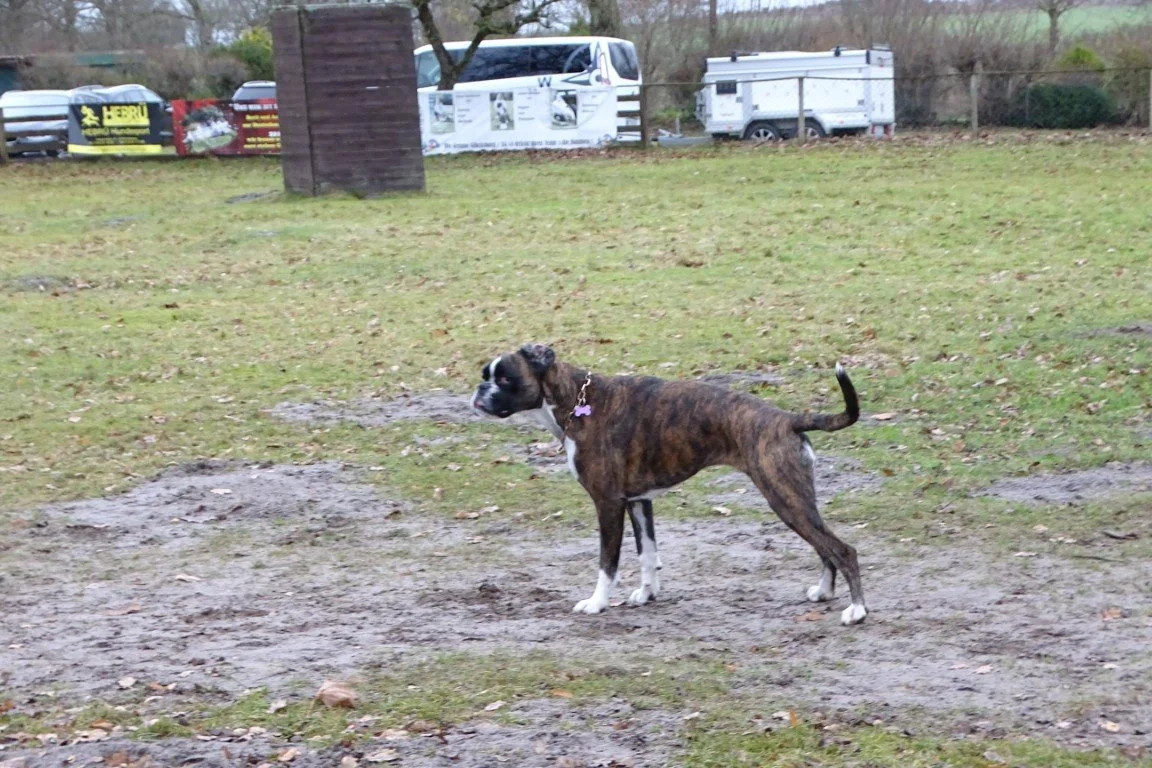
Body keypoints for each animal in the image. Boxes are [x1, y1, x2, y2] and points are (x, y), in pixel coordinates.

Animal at [472, 344, 868, 626]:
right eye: (485, 374)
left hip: (785, 499)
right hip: (797, 501)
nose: (478, 390)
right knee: (825, 548)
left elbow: (607, 563)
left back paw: (857, 611)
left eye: (504, 378)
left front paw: (597, 603)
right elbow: (647, 554)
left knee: (843, 550)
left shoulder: (608, 503)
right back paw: (823, 592)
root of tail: (786, 419)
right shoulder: (637, 501)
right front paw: (646, 594)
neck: (576, 400)